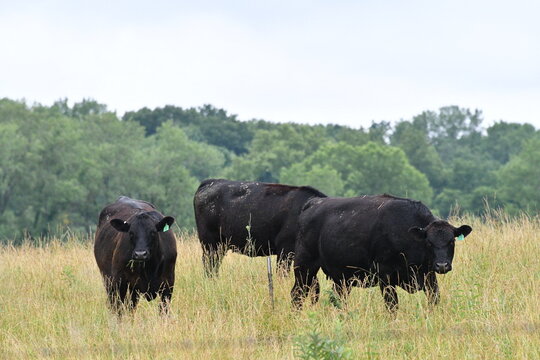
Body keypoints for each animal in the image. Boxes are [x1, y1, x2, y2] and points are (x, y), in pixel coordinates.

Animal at [195, 179, 330, 276]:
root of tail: (210, 182)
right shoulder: (285, 249)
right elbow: (282, 273)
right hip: (210, 244)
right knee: (209, 266)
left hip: (220, 245)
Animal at [292, 194, 472, 312]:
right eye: (429, 242)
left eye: (451, 241)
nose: (442, 265)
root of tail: (313, 202)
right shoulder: (385, 275)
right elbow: (392, 305)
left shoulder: (428, 275)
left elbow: (434, 299)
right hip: (304, 267)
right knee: (297, 294)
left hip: (341, 277)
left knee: (338, 298)